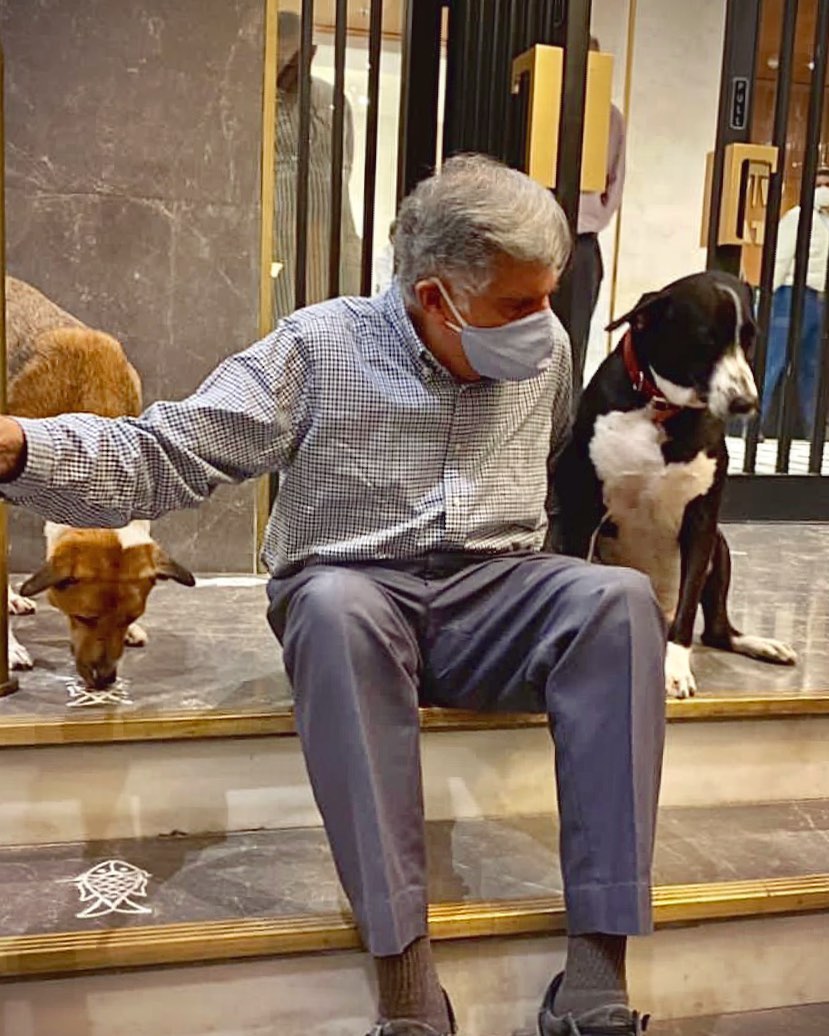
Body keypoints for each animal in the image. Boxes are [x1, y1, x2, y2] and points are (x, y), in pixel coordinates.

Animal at [551, 271, 795, 700]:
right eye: (705, 339)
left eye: (748, 338)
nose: (746, 402)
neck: (663, 411)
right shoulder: (585, 513)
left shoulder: (701, 523)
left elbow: (687, 608)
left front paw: (675, 669)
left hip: (720, 545)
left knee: (716, 630)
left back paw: (759, 644)